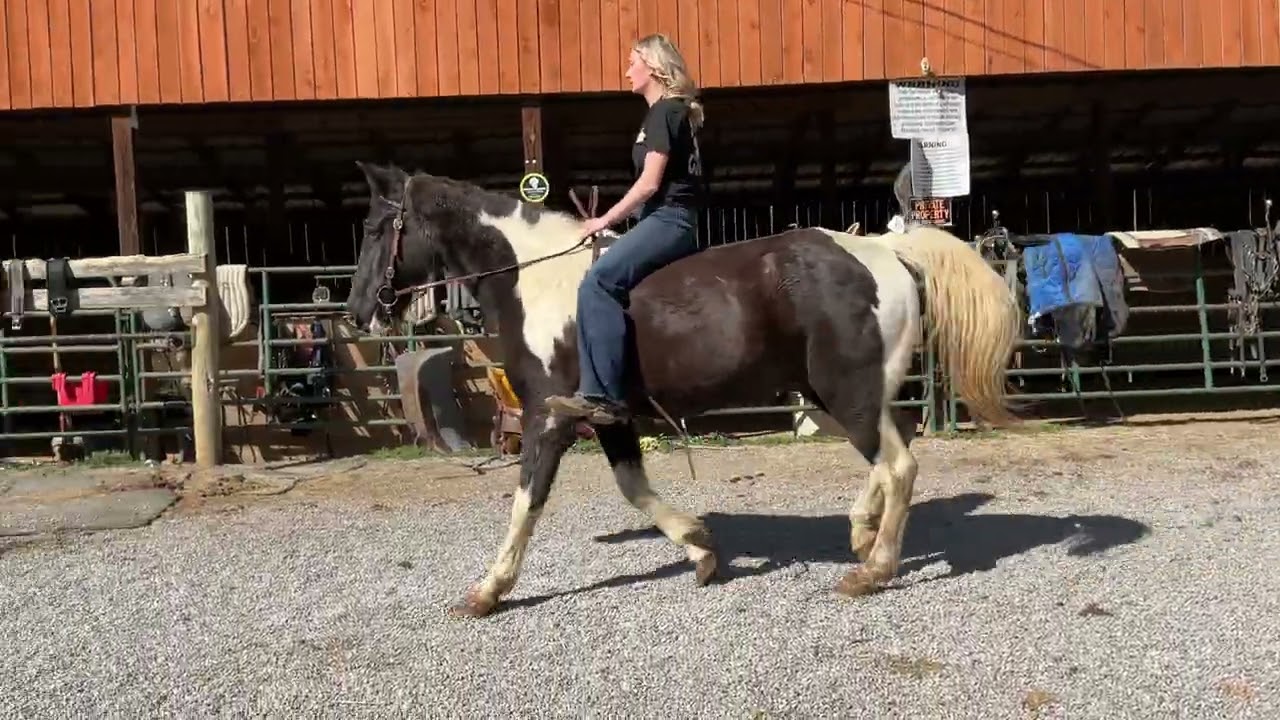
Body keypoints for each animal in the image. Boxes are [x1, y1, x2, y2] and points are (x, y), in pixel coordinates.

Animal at [344, 161, 1024, 619]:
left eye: (377, 227)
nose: (358, 314)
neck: (534, 282)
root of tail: (882, 249)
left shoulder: (548, 417)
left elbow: (526, 501)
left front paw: (487, 591)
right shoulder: (610, 417)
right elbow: (633, 487)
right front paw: (700, 548)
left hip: (844, 395)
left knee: (899, 464)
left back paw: (873, 570)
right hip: (838, 396)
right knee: (893, 454)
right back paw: (862, 533)